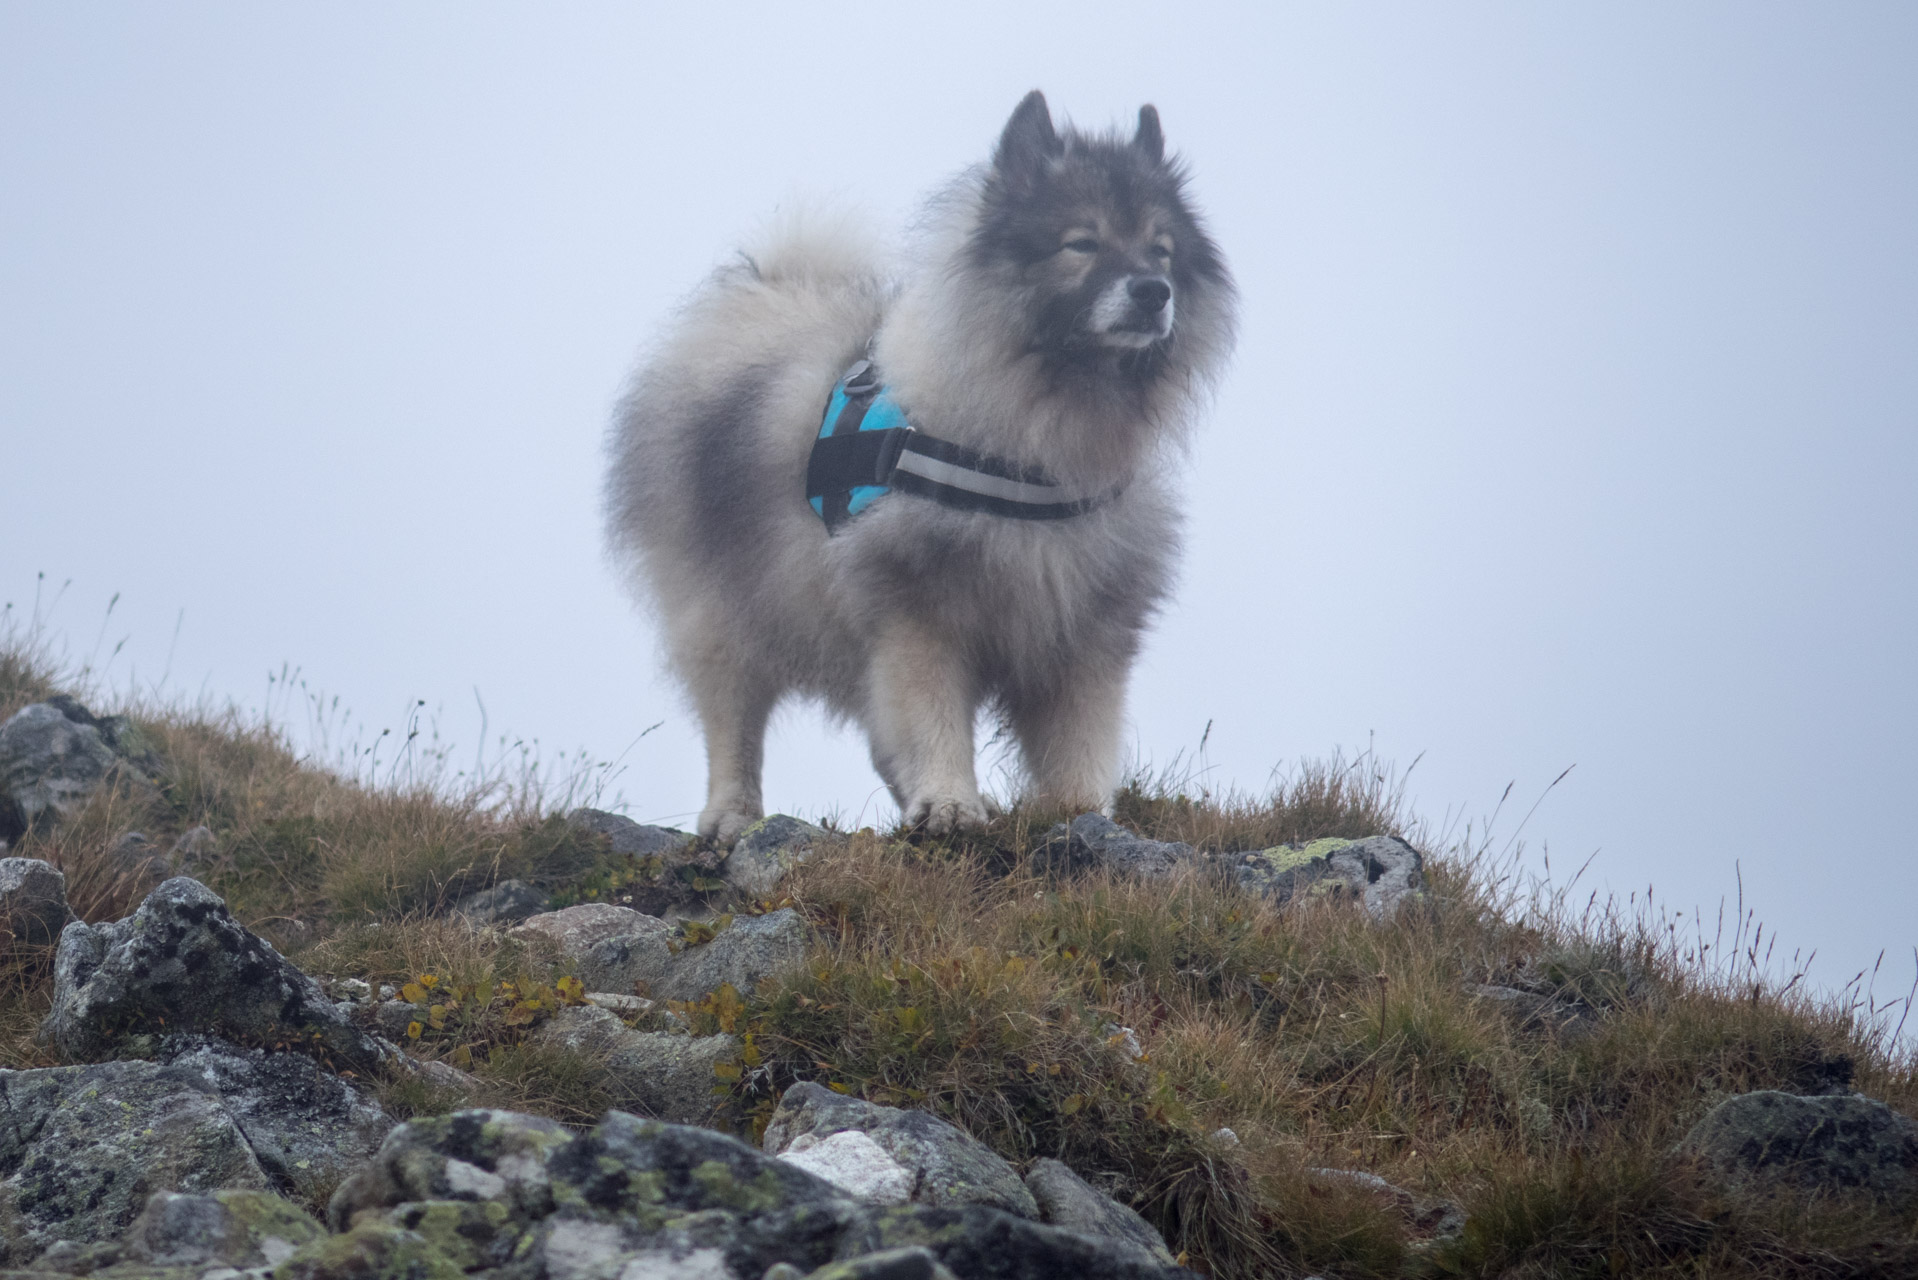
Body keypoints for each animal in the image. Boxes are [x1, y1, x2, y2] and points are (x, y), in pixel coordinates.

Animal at [606, 92, 1235, 852]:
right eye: (1082, 243)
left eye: (1160, 249)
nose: (1153, 291)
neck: (1032, 445)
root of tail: (764, 293)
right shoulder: (919, 614)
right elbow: (934, 720)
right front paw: (949, 804)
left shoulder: (1083, 631)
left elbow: (1079, 745)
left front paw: (1080, 817)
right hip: (725, 610)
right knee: (734, 723)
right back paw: (732, 817)